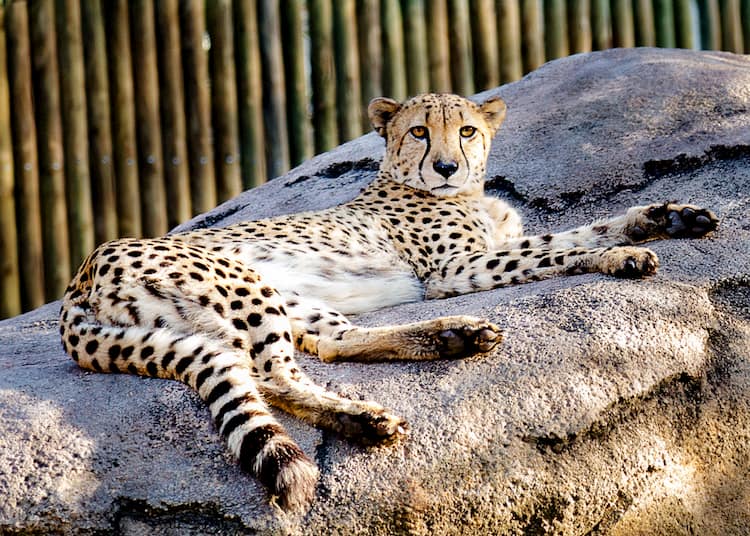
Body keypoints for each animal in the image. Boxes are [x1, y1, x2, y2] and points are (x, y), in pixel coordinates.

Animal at [57, 92, 716, 510]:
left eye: (467, 130)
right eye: (419, 131)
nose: (446, 165)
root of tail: (80, 277)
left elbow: (577, 231)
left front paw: (665, 217)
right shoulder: (452, 270)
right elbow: (555, 254)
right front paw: (618, 258)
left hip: (290, 298)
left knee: (331, 343)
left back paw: (452, 337)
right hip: (244, 283)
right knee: (269, 375)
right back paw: (365, 417)